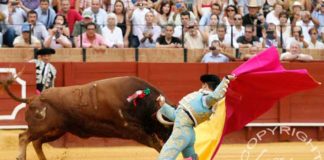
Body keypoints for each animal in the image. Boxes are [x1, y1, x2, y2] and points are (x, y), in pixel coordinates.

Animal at [0, 75, 175, 160]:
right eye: (167, 126)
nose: (172, 138)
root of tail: (32, 99)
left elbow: (157, 144)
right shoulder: (132, 130)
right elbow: (157, 145)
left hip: (56, 130)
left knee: (36, 142)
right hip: (41, 127)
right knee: (24, 136)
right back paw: (20, 157)